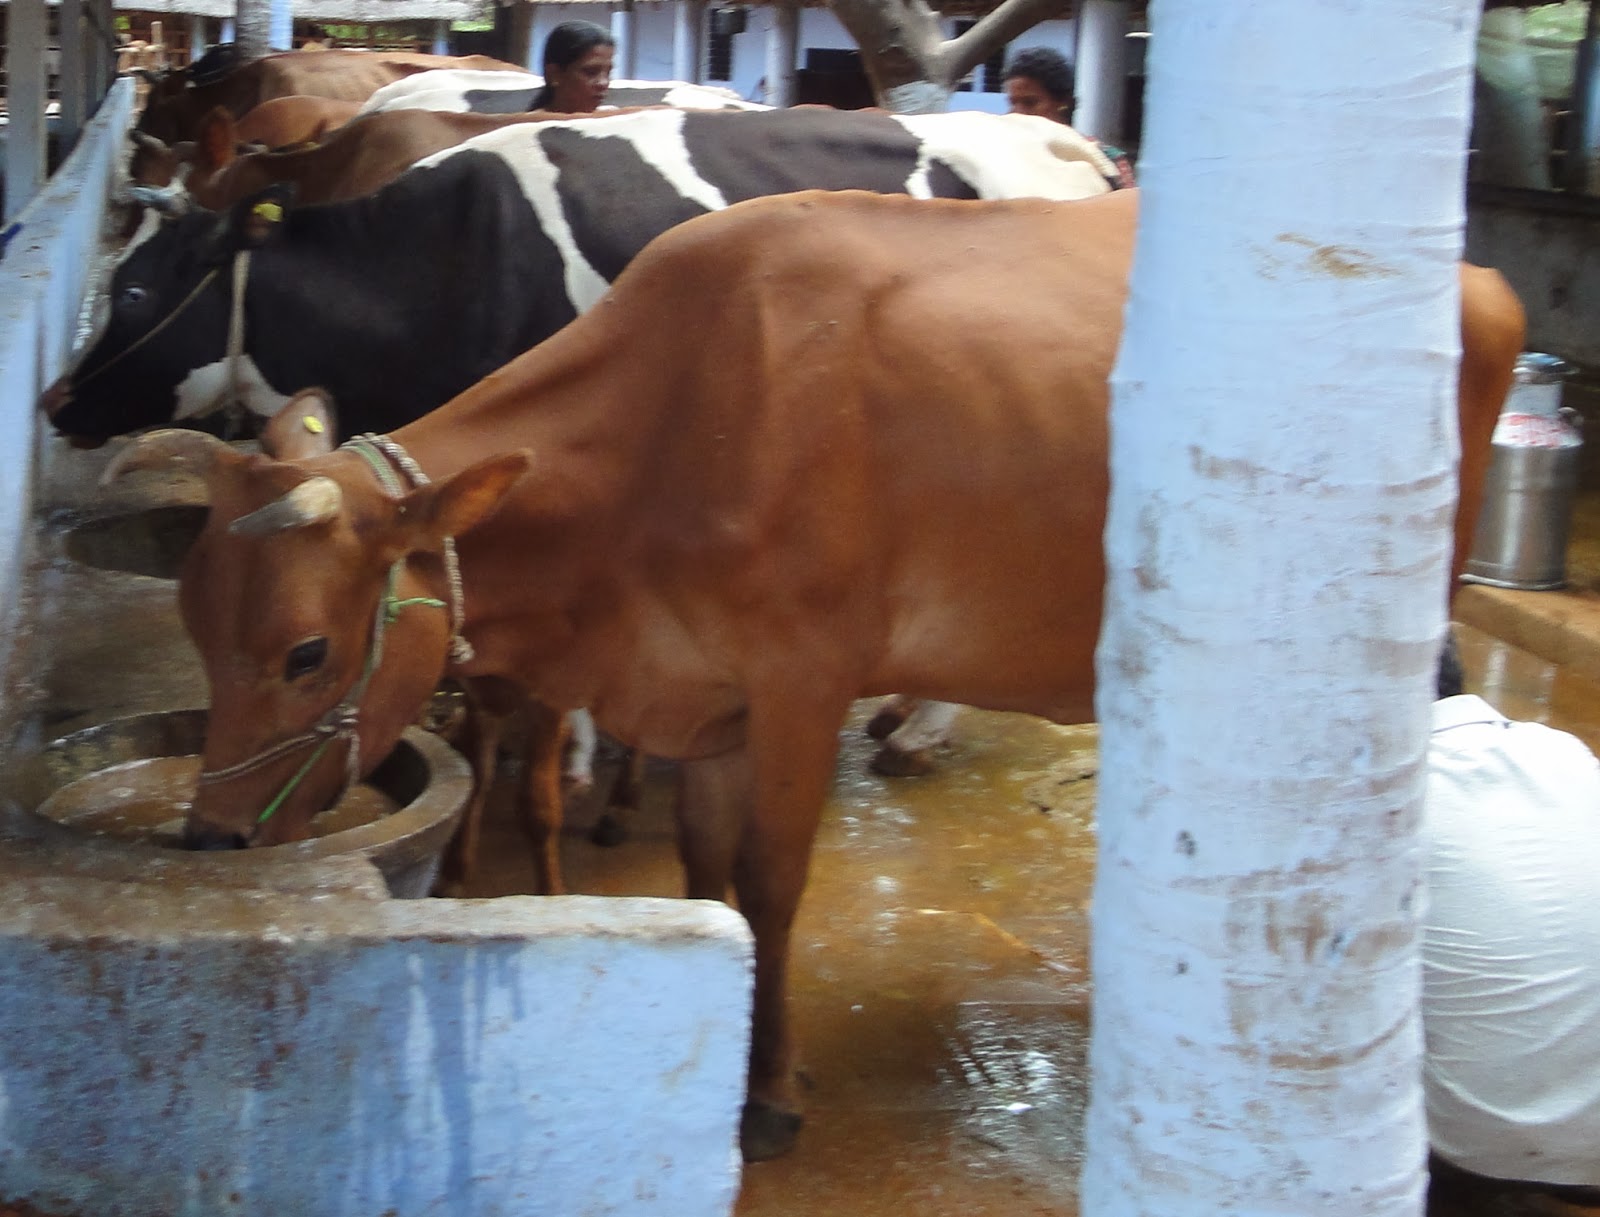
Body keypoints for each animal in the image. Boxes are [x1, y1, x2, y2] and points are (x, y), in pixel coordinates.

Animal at [97, 187, 1526, 1163]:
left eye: (306, 651)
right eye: (194, 621)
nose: (208, 835)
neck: (674, 426)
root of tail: (1478, 276)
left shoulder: (799, 678)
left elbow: (775, 881)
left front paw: (772, 1088)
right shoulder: (707, 701)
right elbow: (707, 875)